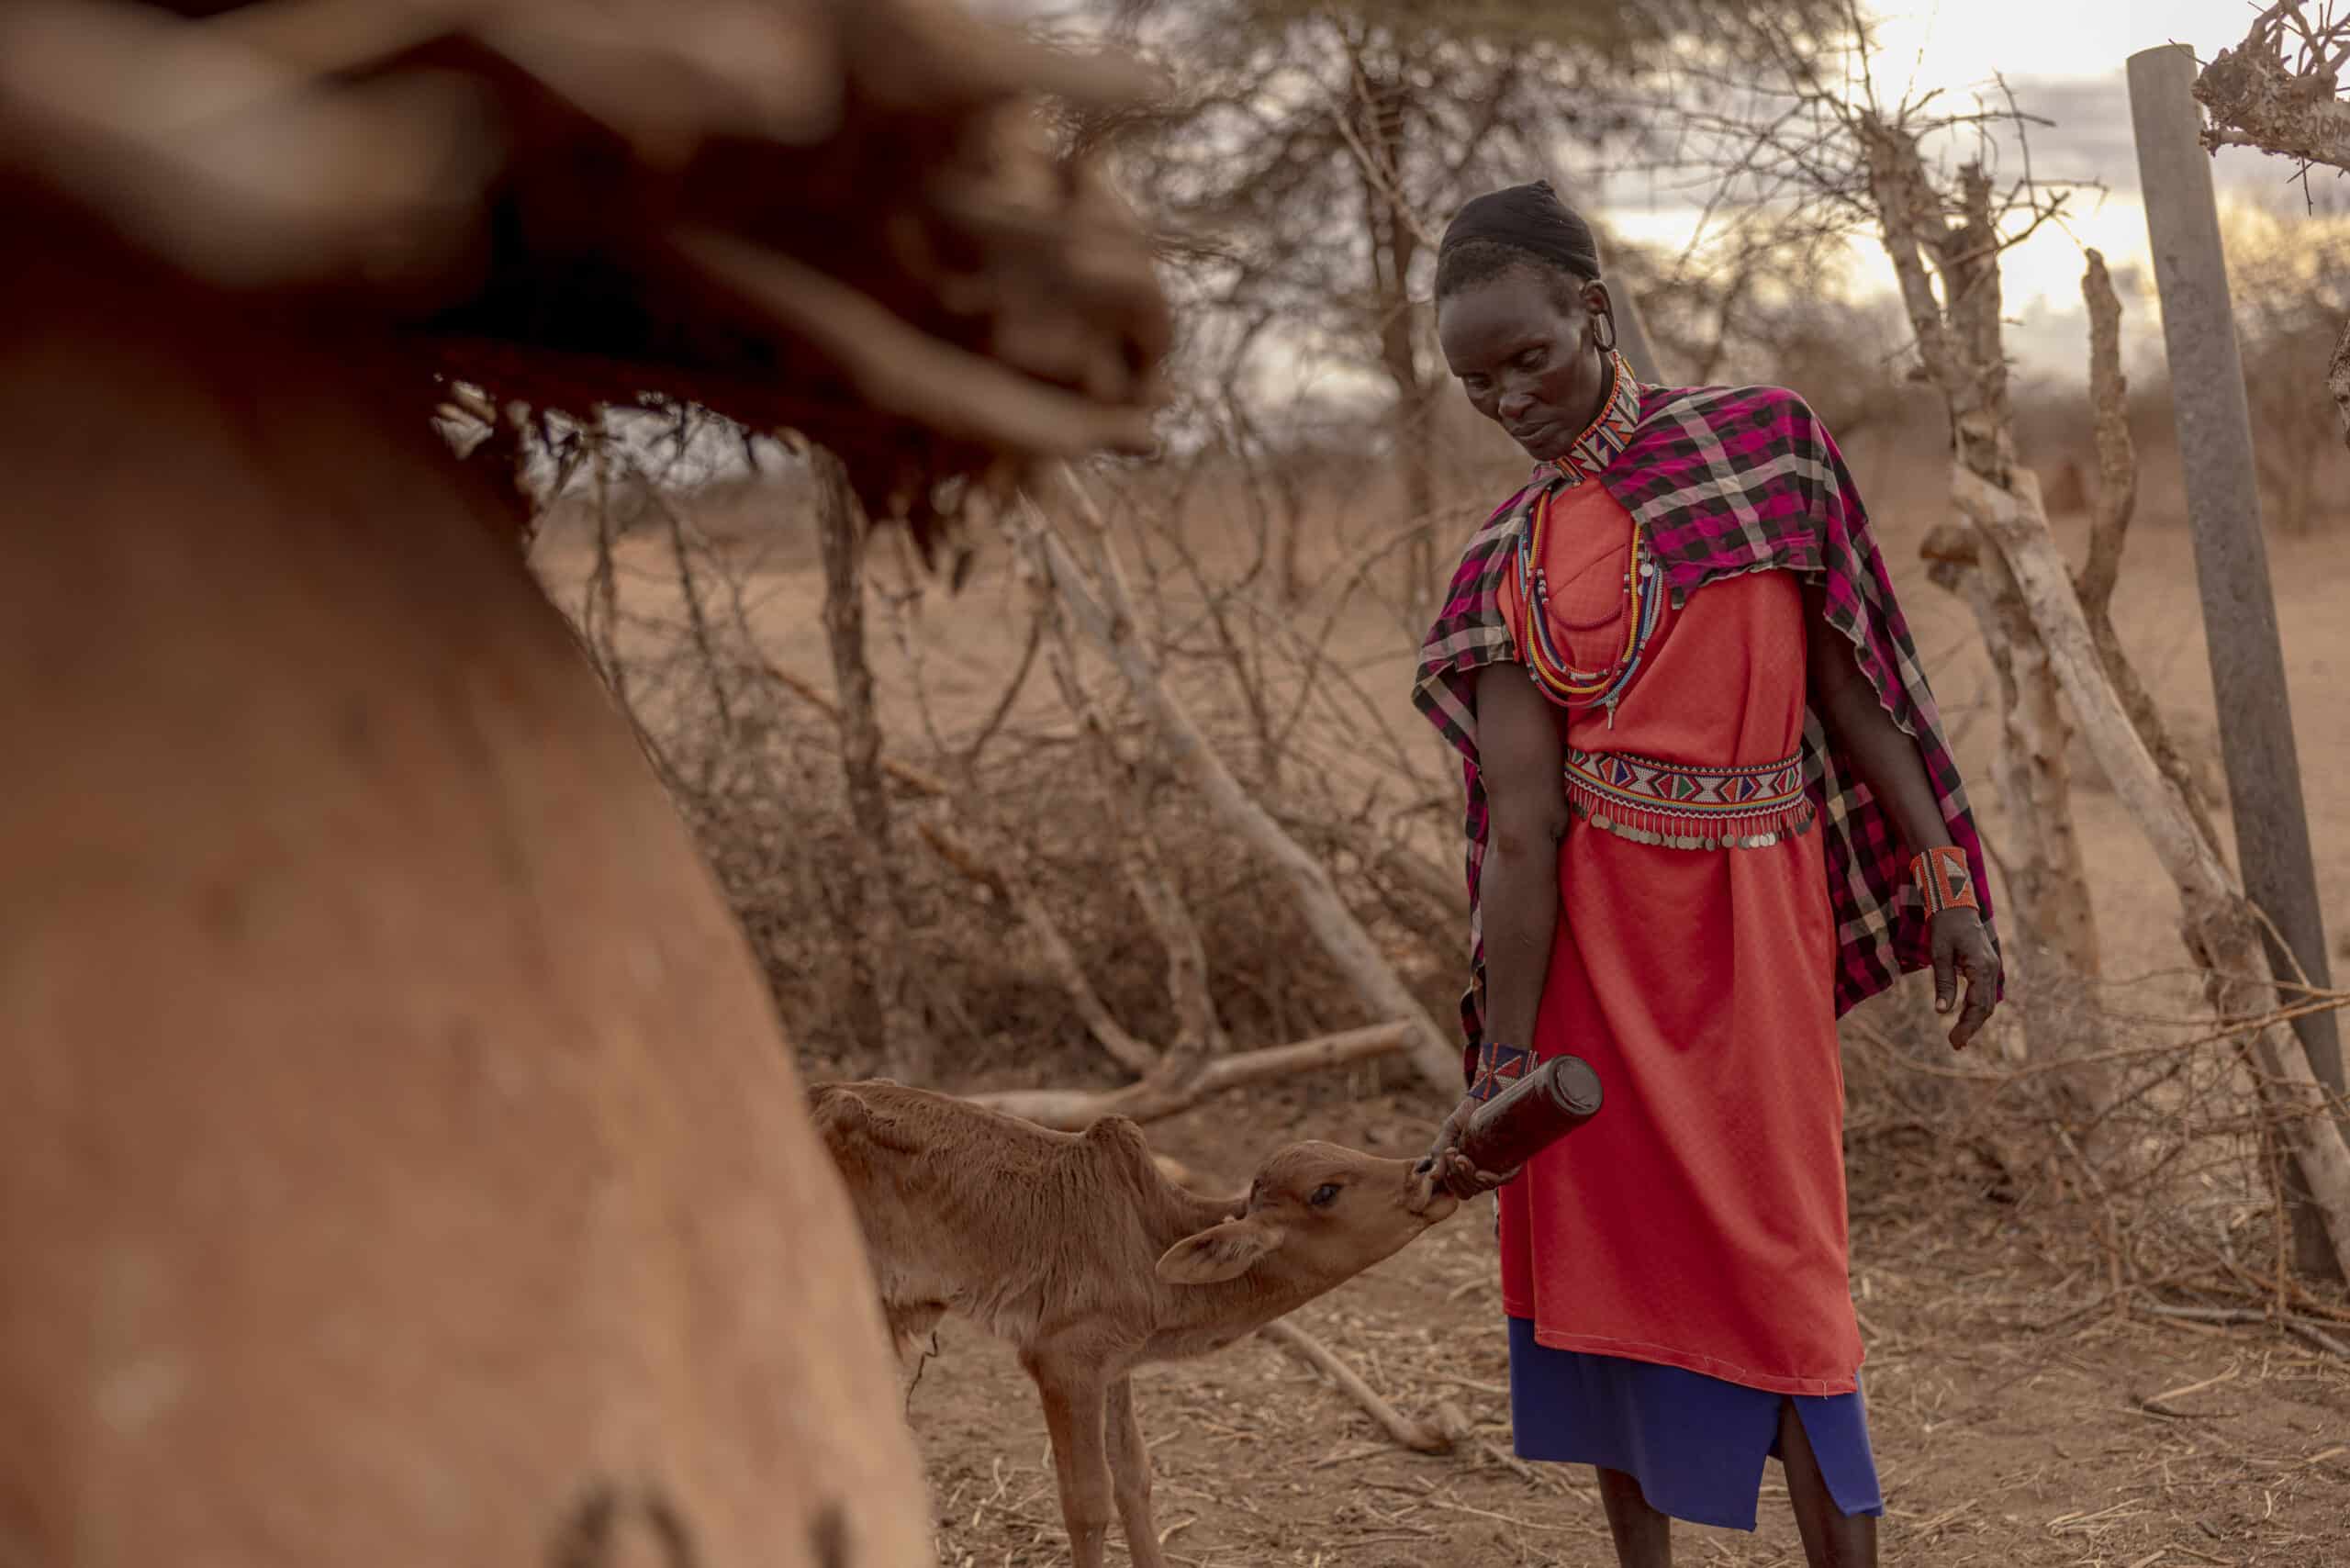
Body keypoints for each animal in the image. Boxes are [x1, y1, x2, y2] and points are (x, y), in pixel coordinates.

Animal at [817, 1081, 1457, 1568]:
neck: (1148, 1241)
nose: (1426, 1170)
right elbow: (1087, 1500)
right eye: (1327, 1191)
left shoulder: (1115, 1363)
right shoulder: (1062, 1364)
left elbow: (1134, 1478)